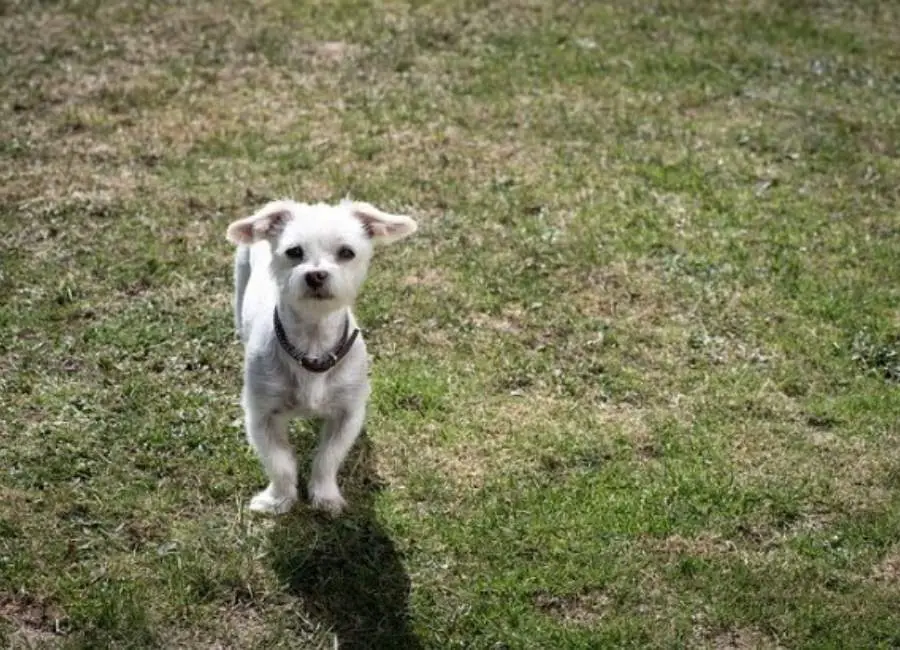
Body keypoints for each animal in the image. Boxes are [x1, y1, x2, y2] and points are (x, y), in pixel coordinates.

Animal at [229, 197, 418, 512]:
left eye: (346, 252)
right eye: (294, 251)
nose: (316, 274)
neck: (313, 344)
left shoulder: (348, 414)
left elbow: (327, 458)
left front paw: (325, 496)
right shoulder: (261, 415)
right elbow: (280, 463)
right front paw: (278, 499)